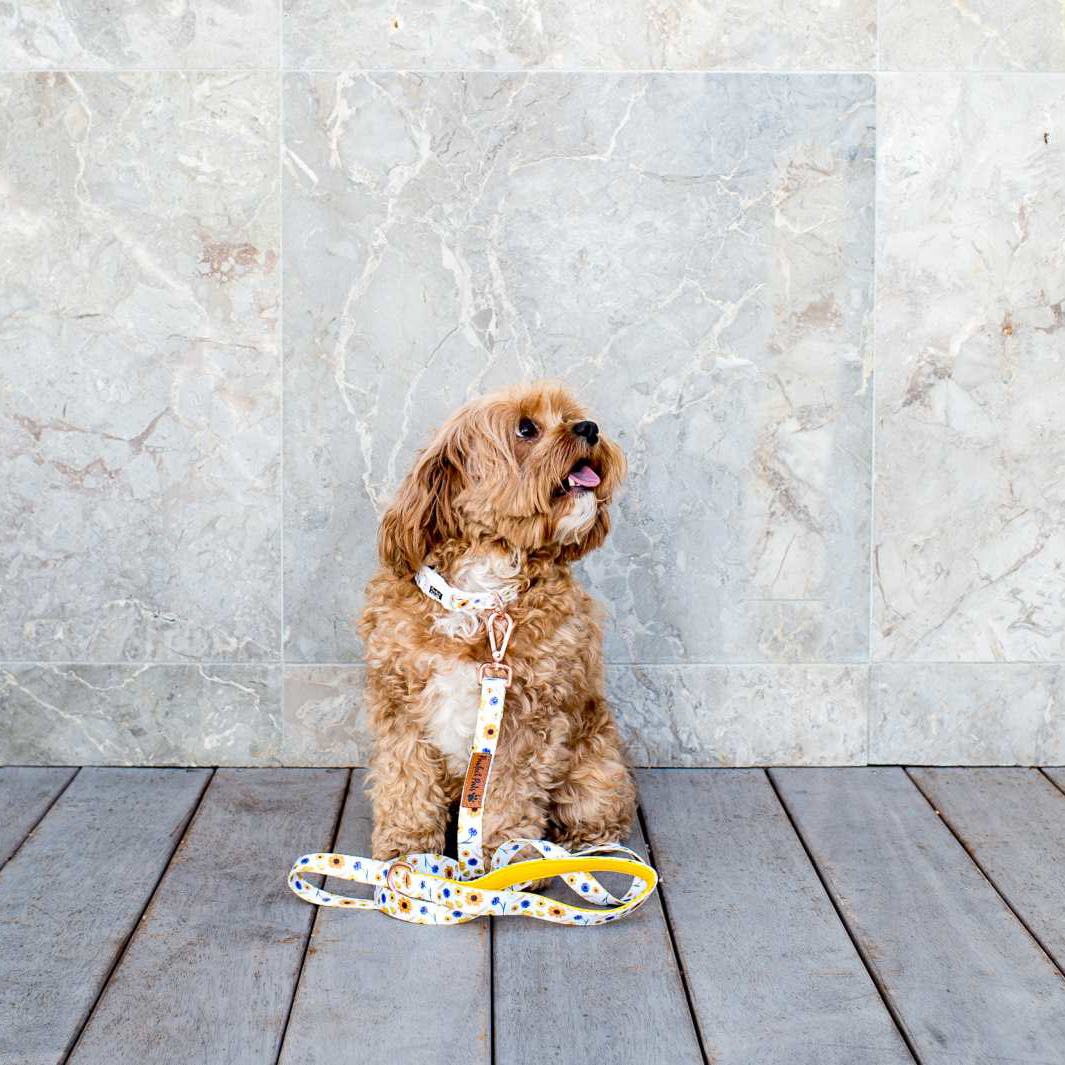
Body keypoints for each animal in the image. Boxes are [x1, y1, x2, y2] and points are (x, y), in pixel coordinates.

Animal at [362, 383, 634, 864]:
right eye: (526, 428)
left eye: (570, 416)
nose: (590, 428)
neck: (481, 596)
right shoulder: (399, 708)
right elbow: (406, 782)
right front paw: (406, 853)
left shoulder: (527, 720)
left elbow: (506, 795)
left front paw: (506, 856)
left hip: (596, 763)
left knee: (599, 806)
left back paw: (590, 843)